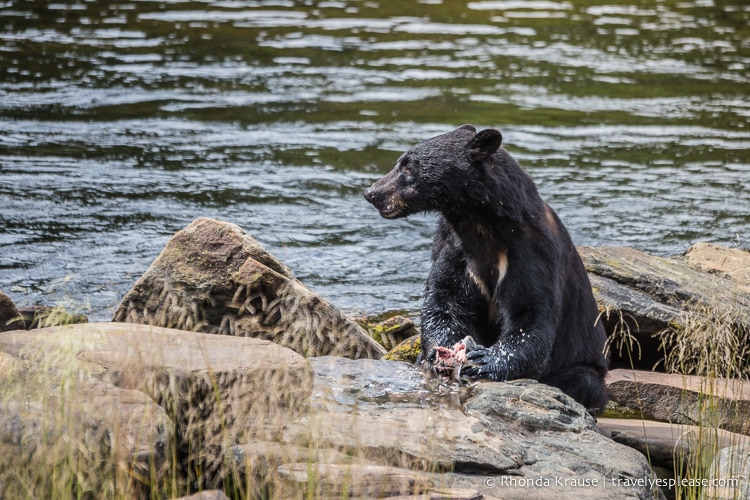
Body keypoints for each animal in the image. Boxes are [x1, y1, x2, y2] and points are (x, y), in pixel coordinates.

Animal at [364, 123, 612, 412]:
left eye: (409, 166)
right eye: (401, 161)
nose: (372, 192)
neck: (483, 227)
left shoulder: (532, 254)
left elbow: (530, 314)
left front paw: (483, 360)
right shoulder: (457, 249)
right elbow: (445, 300)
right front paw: (443, 353)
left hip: (584, 366)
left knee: (583, 380)